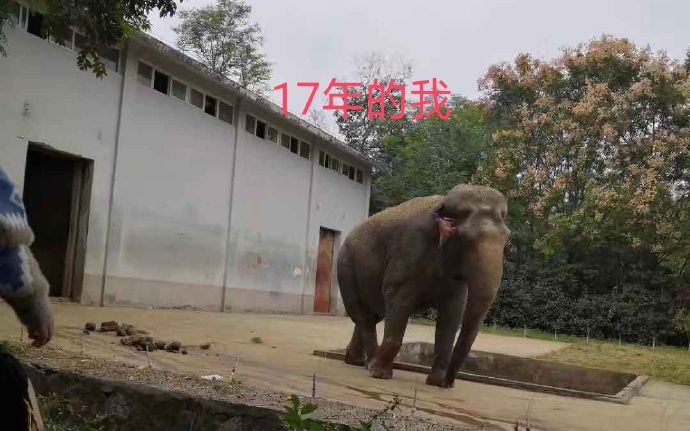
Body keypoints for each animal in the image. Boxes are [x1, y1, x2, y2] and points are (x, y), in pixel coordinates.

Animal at [336, 184, 509, 388]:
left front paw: (435, 382)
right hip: (346, 269)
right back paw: (370, 365)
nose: (448, 383)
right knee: (362, 316)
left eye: (507, 237)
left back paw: (355, 361)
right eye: (465, 239)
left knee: (372, 315)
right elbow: (399, 300)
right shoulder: (408, 250)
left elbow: (453, 311)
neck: (442, 203)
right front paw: (380, 374)